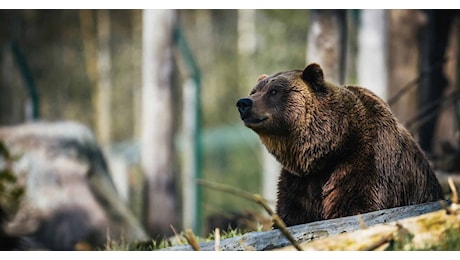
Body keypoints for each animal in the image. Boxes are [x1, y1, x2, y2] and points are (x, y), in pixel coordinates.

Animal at [235, 62, 444, 226]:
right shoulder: (300, 181)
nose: (244, 103)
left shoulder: (365, 160)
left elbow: (354, 204)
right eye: (254, 91)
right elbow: (292, 214)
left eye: (274, 91)